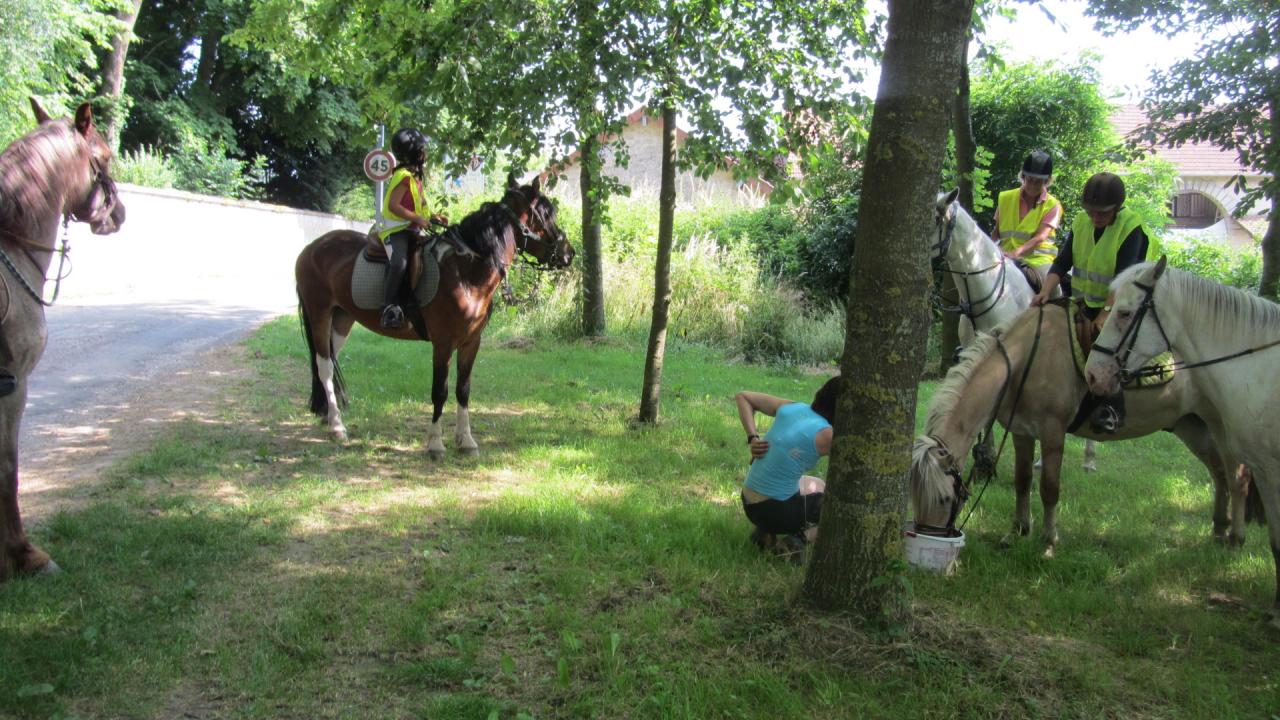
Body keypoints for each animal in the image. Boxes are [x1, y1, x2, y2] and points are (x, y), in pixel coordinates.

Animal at [294, 170, 576, 456]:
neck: (465, 271)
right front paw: (436, 443)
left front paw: (466, 440)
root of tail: (310, 249)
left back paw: (328, 416)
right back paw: (336, 426)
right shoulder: (443, 343)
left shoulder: (471, 342)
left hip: (342, 318)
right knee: (324, 366)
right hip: (319, 314)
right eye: (547, 213)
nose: (568, 253)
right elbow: (439, 391)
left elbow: (463, 389)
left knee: (329, 362)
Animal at [911, 299, 1239, 550]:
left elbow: (1049, 487)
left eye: (943, 498)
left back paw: (1235, 536)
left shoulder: (1053, 432)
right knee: (1220, 473)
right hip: (1191, 427)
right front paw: (1017, 530)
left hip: (1222, 430)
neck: (1026, 360)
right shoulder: (1021, 432)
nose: (927, 536)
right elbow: (1022, 480)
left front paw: (1049, 540)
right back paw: (1219, 528)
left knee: (1238, 477)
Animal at [1090, 257, 1280, 622]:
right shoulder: (1265, 469)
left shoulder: (1271, 470)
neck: (1255, 367)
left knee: (1232, 478)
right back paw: (1224, 532)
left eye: (1124, 313)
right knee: (1225, 477)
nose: (1092, 374)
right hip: (1202, 429)